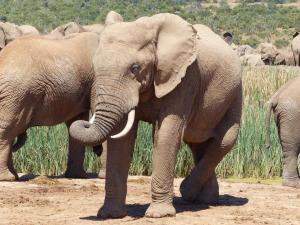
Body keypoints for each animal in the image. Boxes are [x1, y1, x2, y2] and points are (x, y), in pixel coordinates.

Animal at [69, 13, 241, 218]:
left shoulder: (185, 77)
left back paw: (188, 192)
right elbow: (122, 139)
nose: (83, 121)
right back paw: (203, 199)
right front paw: (110, 214)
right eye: (95, 67)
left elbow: (166, 135)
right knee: (198, 143)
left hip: (235, 93)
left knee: (224, 141)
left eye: (135, 68)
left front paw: (159, 214)